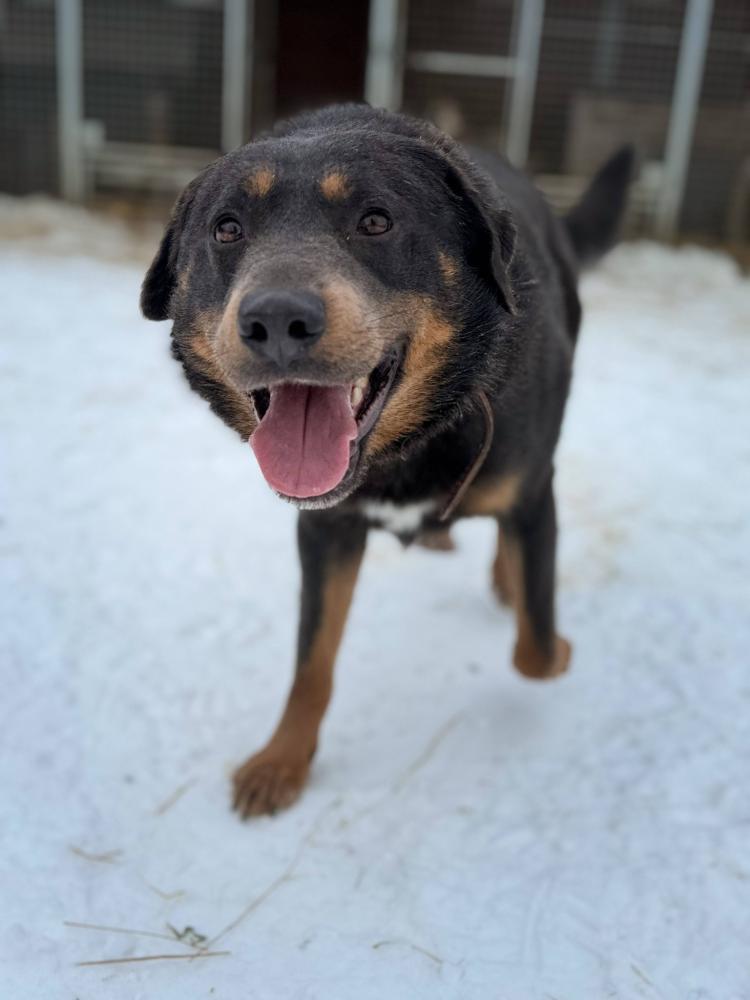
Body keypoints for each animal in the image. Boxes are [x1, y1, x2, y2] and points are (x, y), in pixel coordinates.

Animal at [141, 104, 632, 818]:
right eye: (226, 228)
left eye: (376, 221)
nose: (276, 319)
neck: (408, 448)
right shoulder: (325, 528)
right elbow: (310, 662)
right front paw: (283, 760)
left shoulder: (534, 488)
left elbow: (537, 647)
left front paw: (552, 636)